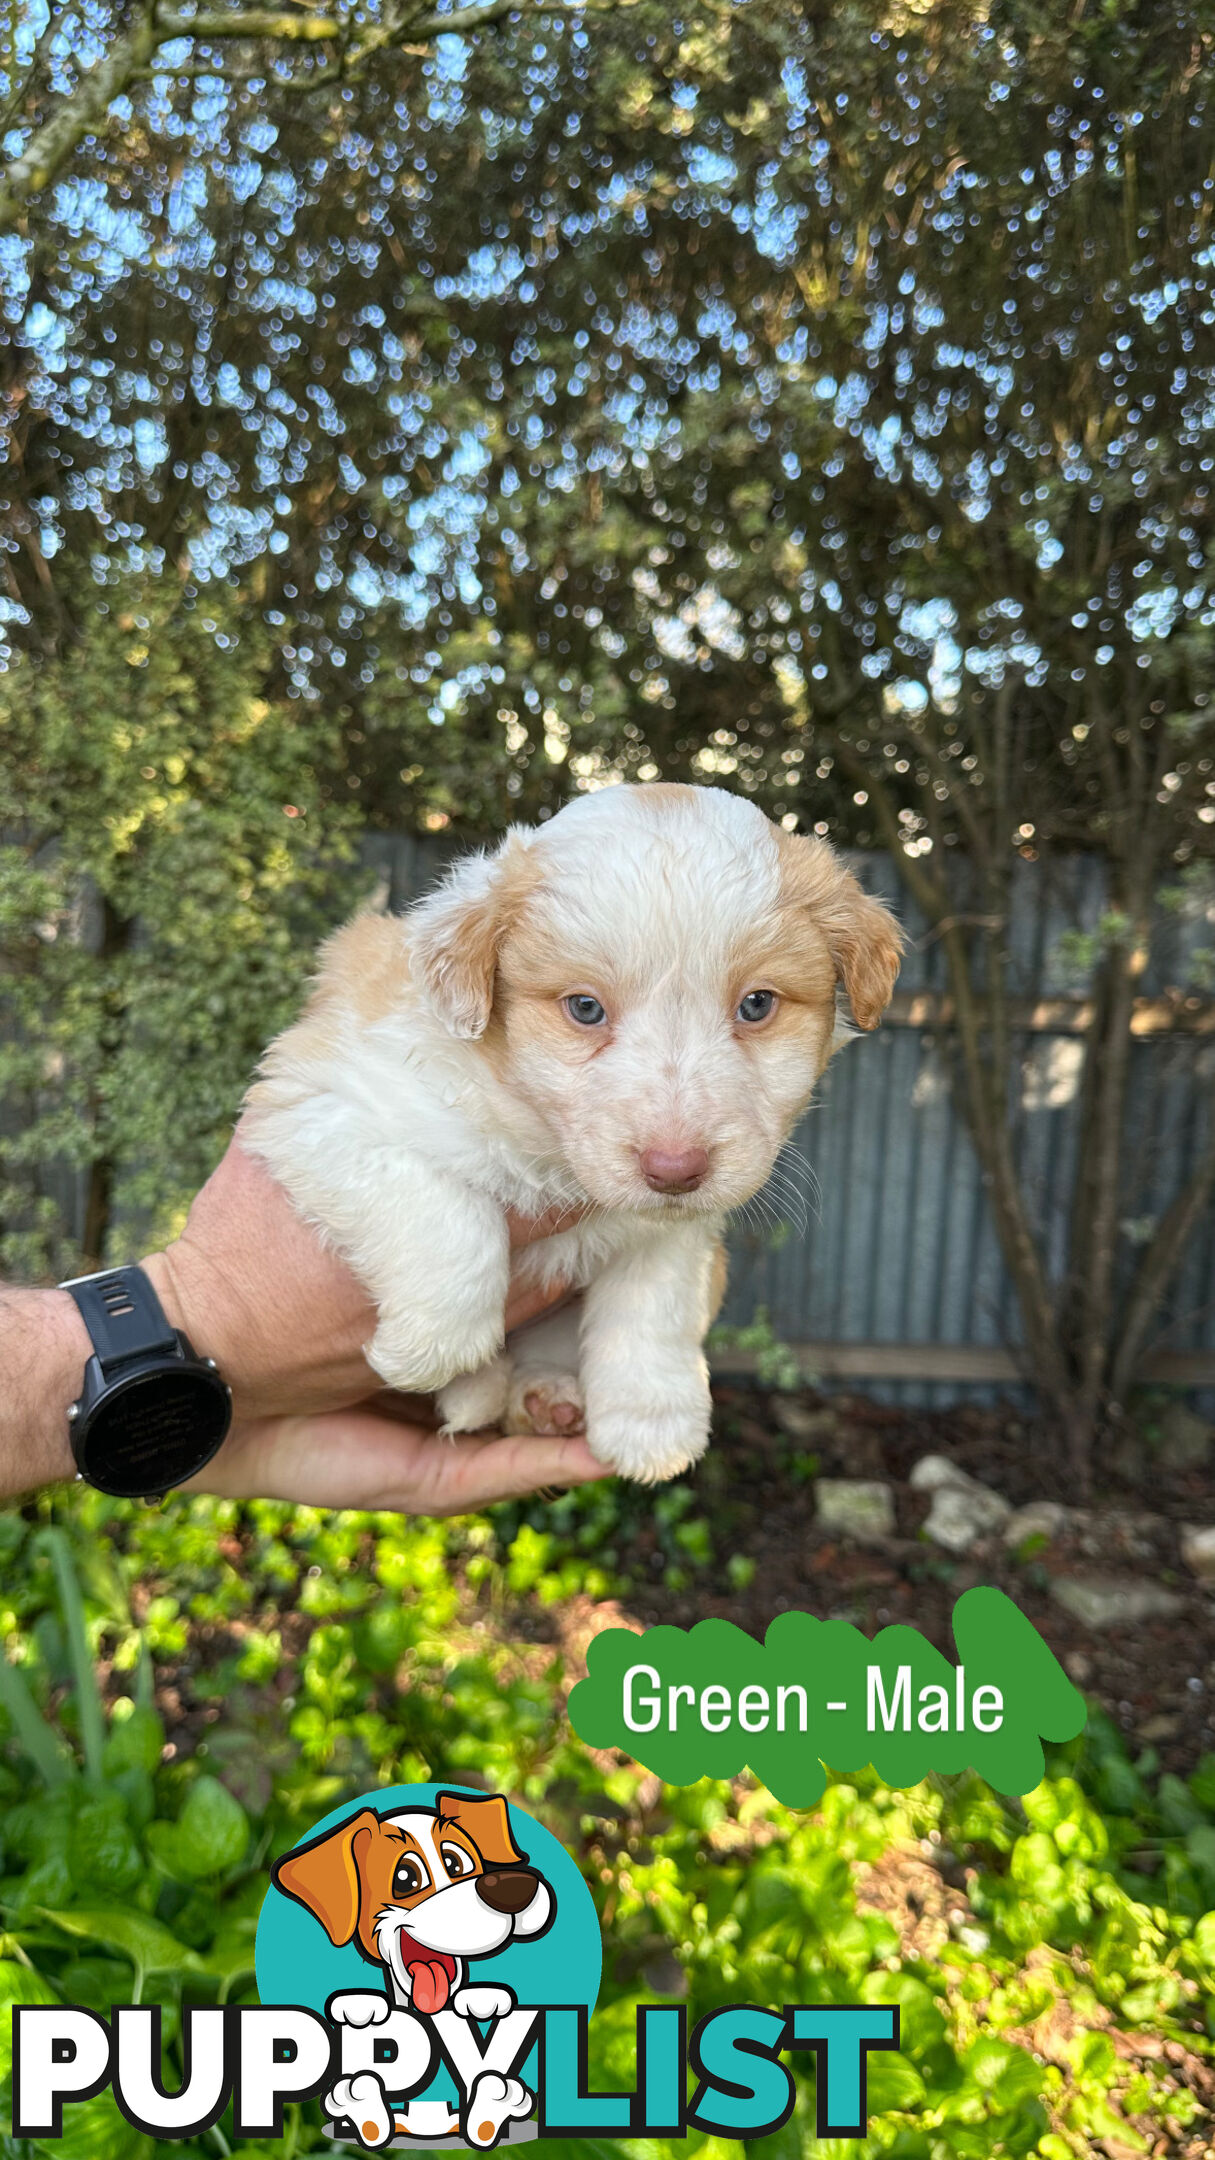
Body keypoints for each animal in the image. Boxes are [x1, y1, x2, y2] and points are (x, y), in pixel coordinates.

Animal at [241, 781, 899, 1486]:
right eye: (585, 1008)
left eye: (756, 1004)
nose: (675, 1169)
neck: (545, 1146)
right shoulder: (317, 1102)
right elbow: (447, 1217)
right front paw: (432, 1348)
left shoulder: (673, 1232)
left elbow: (654, 1308)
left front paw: (652, 1422)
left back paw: (542, 1398)